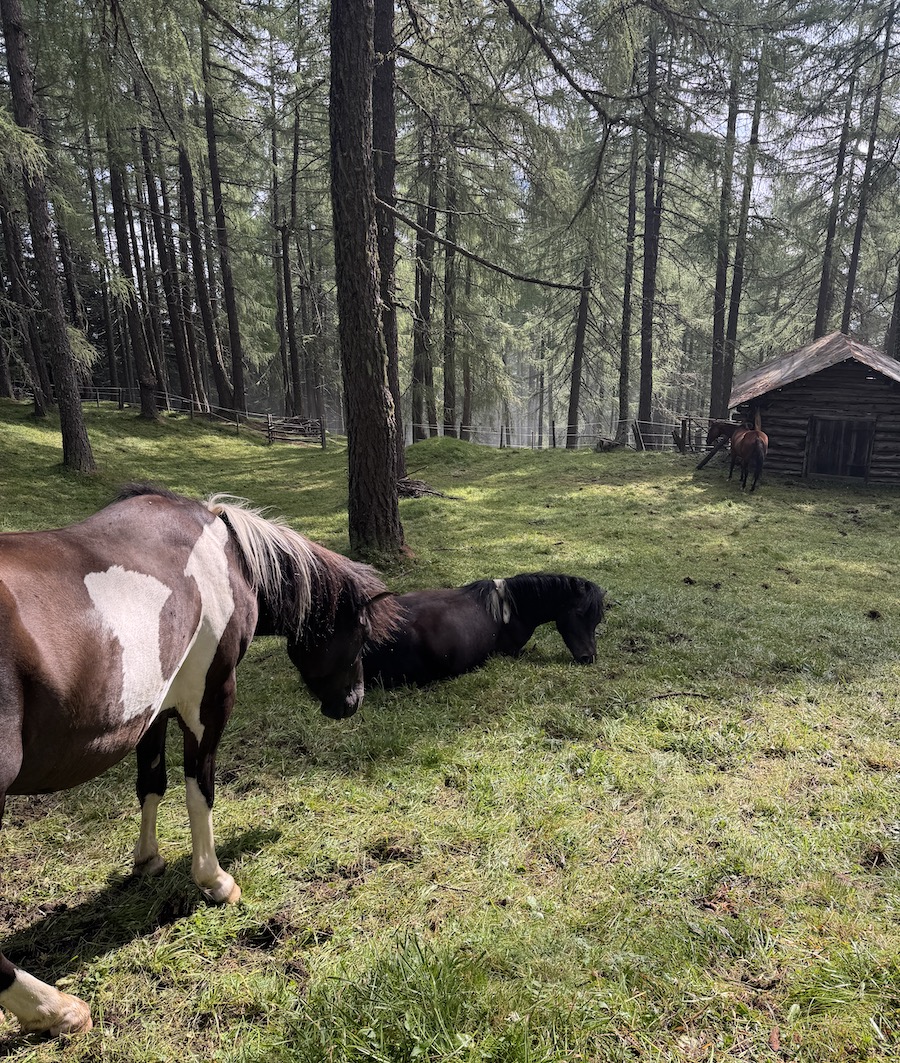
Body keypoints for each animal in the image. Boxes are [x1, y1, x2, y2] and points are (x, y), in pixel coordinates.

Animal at [0, 484, 397, 1036]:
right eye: (358, 635)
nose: (352, 702)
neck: (225, 556)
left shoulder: (153, 710)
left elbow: (151, 783)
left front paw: (148, 861)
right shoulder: (210, 702)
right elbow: (198, 791)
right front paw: (214, 881)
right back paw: (55, 1009)